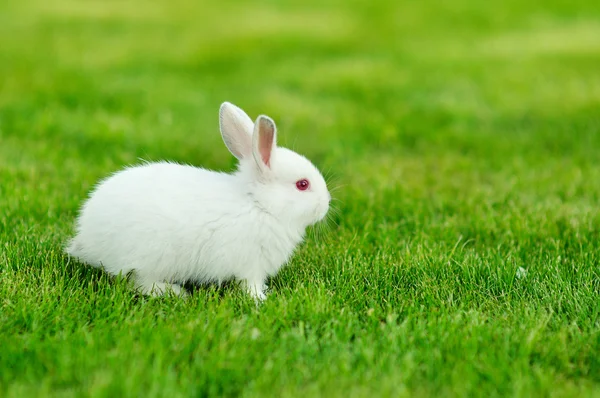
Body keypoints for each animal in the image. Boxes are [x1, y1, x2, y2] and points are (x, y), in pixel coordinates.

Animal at [67, 102, 330, 298]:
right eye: (302, 184)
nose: (326, 204)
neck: (259, 205)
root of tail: (87, 239)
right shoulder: (251, 265)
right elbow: (250, 285)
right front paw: (260, 298)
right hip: (152, 257)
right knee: (138, 282)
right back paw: (174, 292)